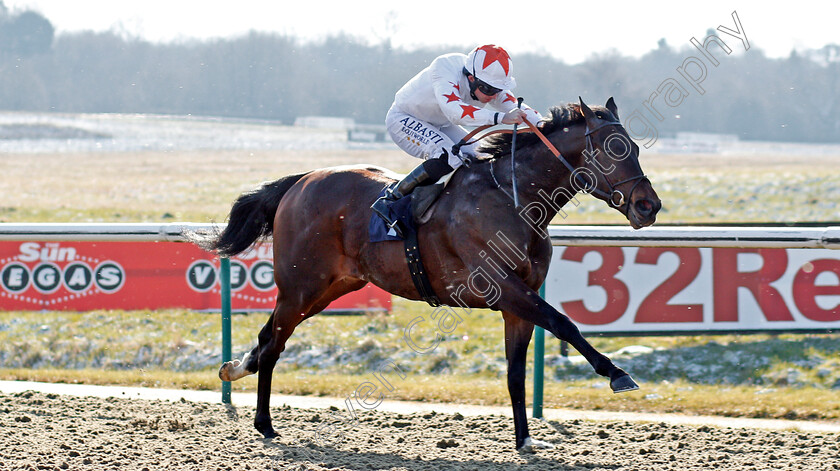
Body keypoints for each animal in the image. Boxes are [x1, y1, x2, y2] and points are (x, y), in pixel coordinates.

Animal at [195, 97, 664, 452]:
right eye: (613, 148)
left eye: (636, 147)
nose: (649, 206)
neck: (513, 200)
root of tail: (301, 180)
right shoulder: (504, 289)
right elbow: (564, 323)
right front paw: (617, 373)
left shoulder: (519, 301)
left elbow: (515, 372)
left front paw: (526, 440)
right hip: (301, 287)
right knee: (273, 344)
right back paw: (264, 423)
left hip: (331, 288)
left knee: (267, 338)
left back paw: (235, 370)